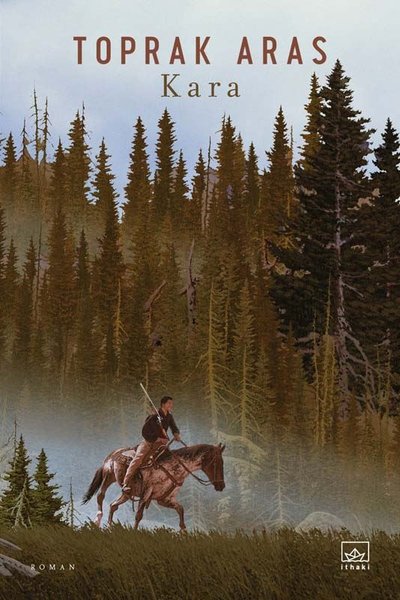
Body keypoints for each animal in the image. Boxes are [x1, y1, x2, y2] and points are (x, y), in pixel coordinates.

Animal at [82, 442, 226, 530]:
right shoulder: (146, 494)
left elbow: (180, 510)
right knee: (100, 495)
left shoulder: (165, 499)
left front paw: (184, 532)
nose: (221, 486)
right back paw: (97, 519)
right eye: (216, 463)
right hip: (108, 476)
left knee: (113, 505)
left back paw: (110, 526)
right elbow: (138, 516)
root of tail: (111, 455)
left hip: (126, 493)